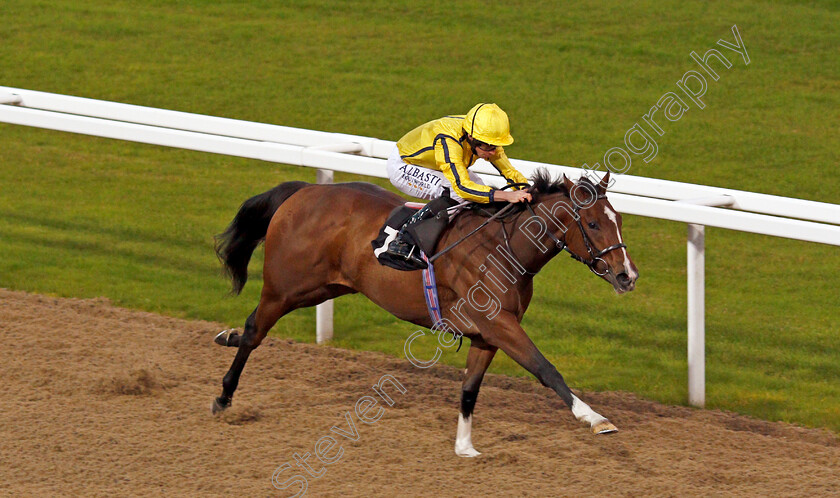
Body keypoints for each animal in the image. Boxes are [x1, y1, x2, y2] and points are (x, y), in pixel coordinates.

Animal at [210, 170, 636, 456]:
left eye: (618, 220)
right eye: (593, 222)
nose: (627, 275)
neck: (506, 247)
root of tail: (304, 191)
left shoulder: (487, 334)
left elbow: (469, 389)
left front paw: (465, 447)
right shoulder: (499, 324)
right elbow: (546, 369)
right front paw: (595, 419)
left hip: (324, 287)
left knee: (255, 329)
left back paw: (226, 337)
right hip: (285, 287)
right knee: (255, 330)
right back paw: (224, 396)